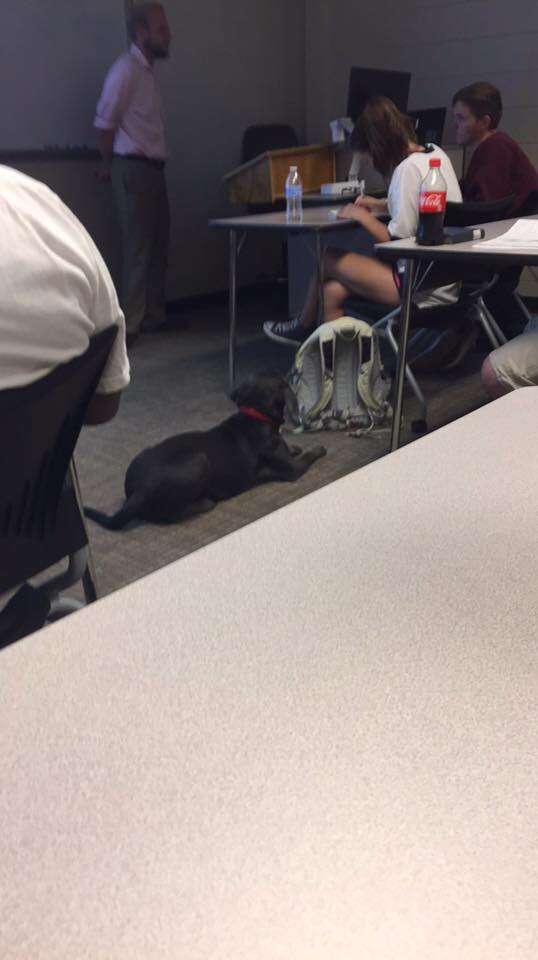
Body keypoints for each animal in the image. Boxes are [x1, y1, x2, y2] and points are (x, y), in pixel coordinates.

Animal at [86, 374, 324, 532]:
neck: (255, 415)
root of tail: (138, 492)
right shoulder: (292, 469)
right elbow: (309, 455)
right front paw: (319, 448)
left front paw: (294, 446)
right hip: (199, 462)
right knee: (169, 516)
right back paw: (205, 502)